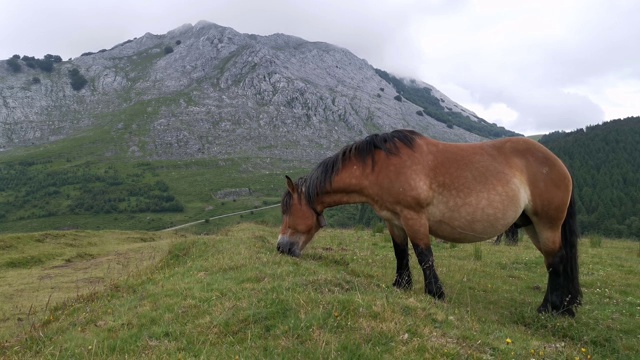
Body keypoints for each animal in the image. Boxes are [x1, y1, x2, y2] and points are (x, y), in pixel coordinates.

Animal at [278, 129, 584, 316]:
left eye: (287, 211)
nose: (282, 248)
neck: (383, 165)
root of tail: (560, 166)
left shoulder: (414, 217)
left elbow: (424, 255)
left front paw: (435, 293)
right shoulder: (394, 221)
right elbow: (401, 253)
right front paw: (400, 285)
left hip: (546, 224)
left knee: (556, 261)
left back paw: (549, 308)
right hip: (533, 226)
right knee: (555, 261)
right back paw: (565, 308)